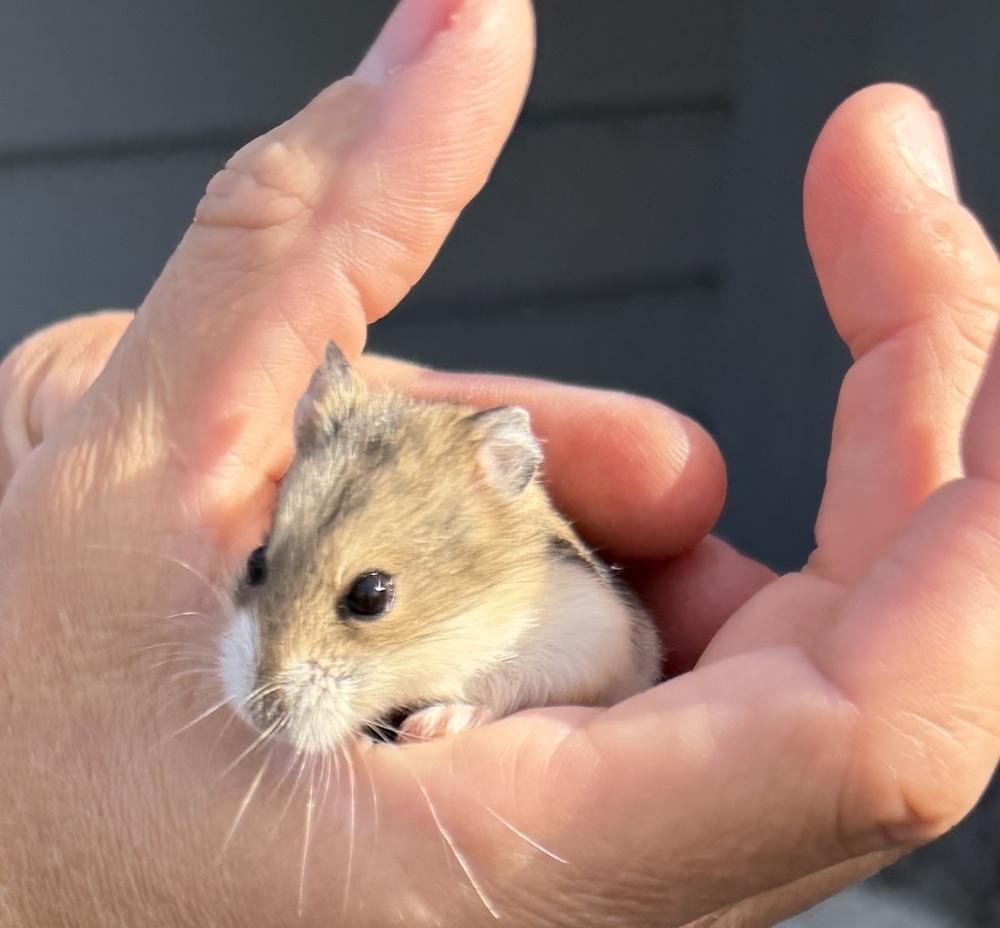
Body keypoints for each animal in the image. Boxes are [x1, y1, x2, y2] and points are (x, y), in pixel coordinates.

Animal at [219, 342, 662, 754]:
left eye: (371, 595)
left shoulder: (587, 646)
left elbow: (510, 689)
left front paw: (428, 727)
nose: (258, 717)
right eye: (255, 562)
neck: (473, 616)